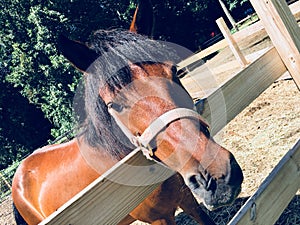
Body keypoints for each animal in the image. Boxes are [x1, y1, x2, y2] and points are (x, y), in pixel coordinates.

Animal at [11, 1, 244, 225]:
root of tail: (19, 173)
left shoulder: (188, 200)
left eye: (175, 72)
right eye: (114, 105)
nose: (217, 176)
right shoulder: (160, 218)